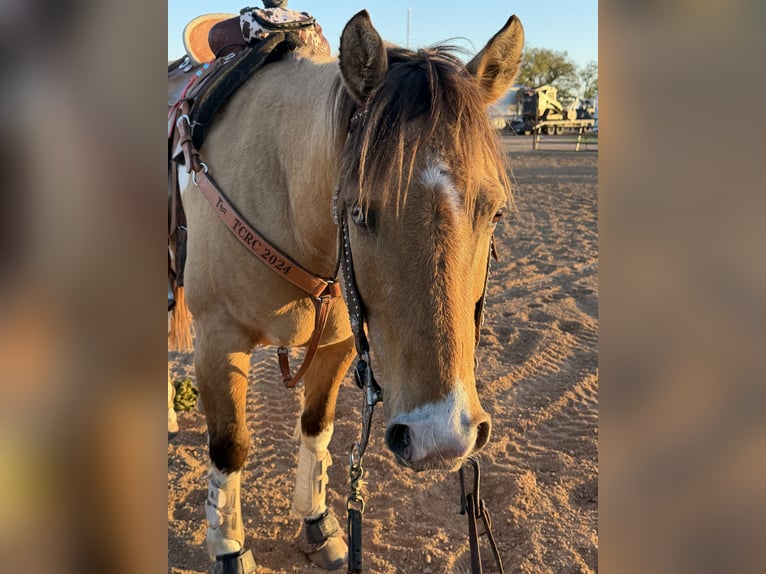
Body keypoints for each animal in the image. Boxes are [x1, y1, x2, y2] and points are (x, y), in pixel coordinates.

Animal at [169, 10, 524, 571]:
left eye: (495, 212)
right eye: (358, 212)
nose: (441, 437)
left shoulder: (336, 345)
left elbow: (317, 427)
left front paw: (317, 522)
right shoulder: (217, 342)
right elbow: (229, 446)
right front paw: (228, 546)